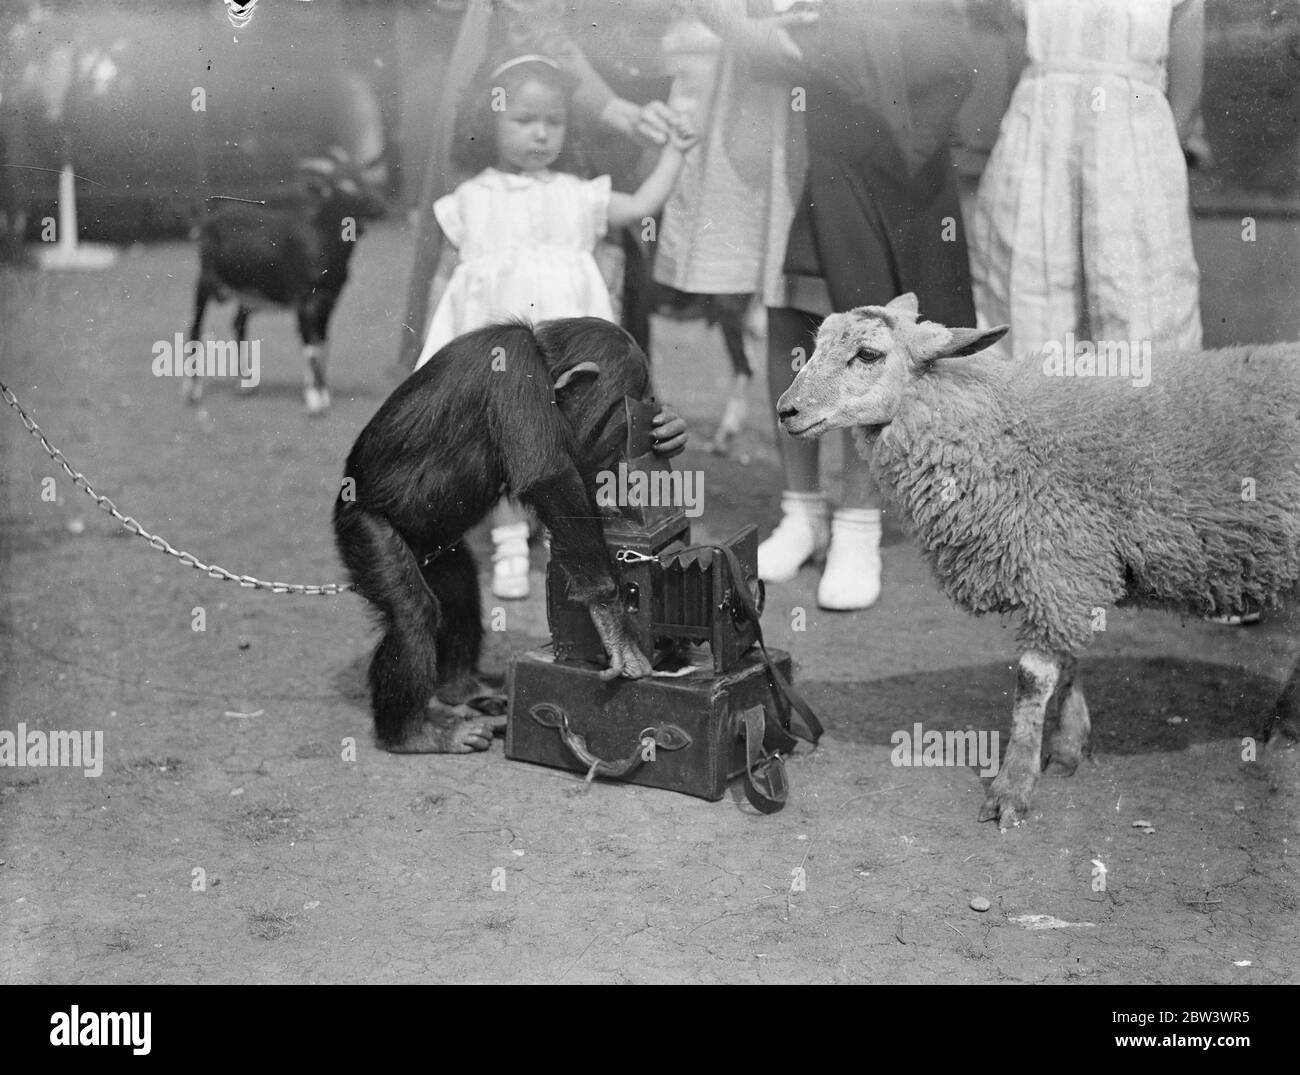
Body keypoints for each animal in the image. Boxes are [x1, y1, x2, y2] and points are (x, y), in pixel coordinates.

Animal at [185, 150, 382, 415]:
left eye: (363, 177)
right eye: (342, 184)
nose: (379, 205)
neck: (320, 240)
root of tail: (209, 219)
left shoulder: (329, 300)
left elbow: (323, 345)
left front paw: (323, 394)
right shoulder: (303, 298)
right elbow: (310, 347)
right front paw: (315, 401)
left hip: (248, 292)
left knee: (238, 324)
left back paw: (245, 385)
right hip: (205, 279)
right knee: (195, 327)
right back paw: (192, 392)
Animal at [335, 319, 691, 753]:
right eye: (619, 420)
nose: (616, 449)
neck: (542, 357)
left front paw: (671, 430)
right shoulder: (517, 374)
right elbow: (549, 476)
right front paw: (613, 622)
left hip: (435, 549)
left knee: (459, 591)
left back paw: (463, 689)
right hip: (365, 530)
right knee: (413, 614)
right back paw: (413, 734)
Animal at [774, 293, 1294, 831]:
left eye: (869, 355)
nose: (785, 411)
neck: (1004, 431)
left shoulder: (1059, 564)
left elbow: (1033, 678)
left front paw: (1013, 787)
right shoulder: (1068, 571)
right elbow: (1066, 663)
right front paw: (1067, 747)